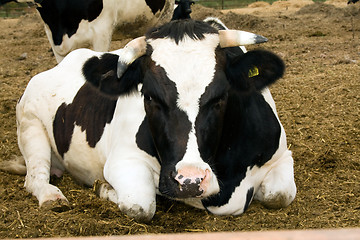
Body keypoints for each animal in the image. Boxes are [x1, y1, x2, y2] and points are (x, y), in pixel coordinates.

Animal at [2, 18, 296, 221]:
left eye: (221, 96)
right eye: (150, 96)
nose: (189, 181)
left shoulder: (282, 156)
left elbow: (280, 195)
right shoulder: (124, 160)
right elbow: (140, 206)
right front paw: (104, 189)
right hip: (30, 126)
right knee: (35, 178)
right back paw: (52, 195)